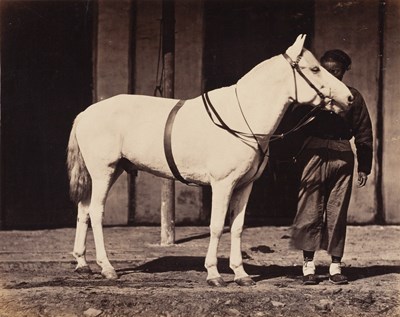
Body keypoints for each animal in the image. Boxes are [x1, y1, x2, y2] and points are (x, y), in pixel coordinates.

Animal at [67, 35, 352, 286]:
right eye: (314, 69)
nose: (349, 98)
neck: (243, 117)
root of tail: (85, 113)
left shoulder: (244, 186)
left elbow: (236, 227)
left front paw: (241, 274)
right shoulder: (222, 185)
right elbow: (216, 226)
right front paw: (214, 274)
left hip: (108, 172)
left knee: (83, 209)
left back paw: (82, 264)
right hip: (104, 171)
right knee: (96, 212)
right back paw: (107, 268)